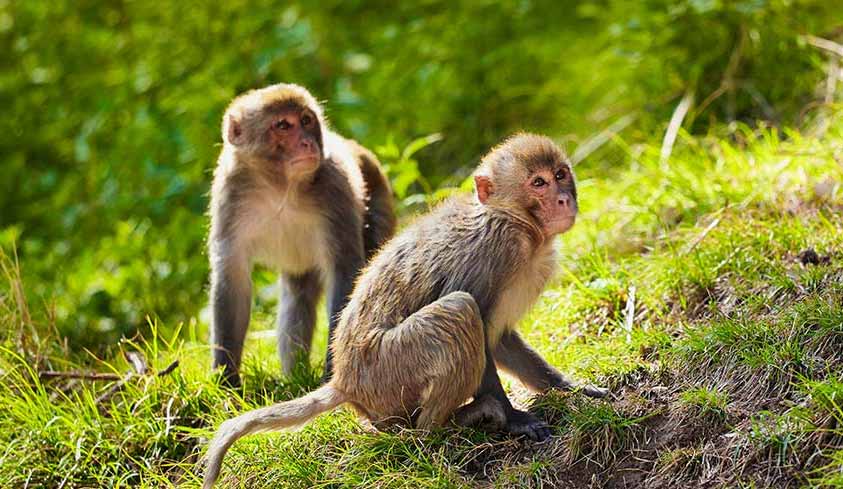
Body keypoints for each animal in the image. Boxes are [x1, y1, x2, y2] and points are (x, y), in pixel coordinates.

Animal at [202, 133, 608, 488]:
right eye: (538, 182)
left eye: (560, 174)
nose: (563, 199)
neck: (521, 224)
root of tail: (344, 381)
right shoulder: (497, 249)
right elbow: (478, 319)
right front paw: (513, 419)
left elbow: (499, 339)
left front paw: (567, 388)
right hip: (386, 368)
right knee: (459, 312)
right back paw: (445, 426)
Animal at [208, 83, 396, 387]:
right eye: (283, 125)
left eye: (306, 121)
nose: (308, 143)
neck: (280, 186)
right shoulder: (230, 193)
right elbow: (232, 278)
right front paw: (226, 379)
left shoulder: (335, 186)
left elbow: (344, 271)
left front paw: (333, 371)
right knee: (298, 295)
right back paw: (294, 375)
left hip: (378, 204)